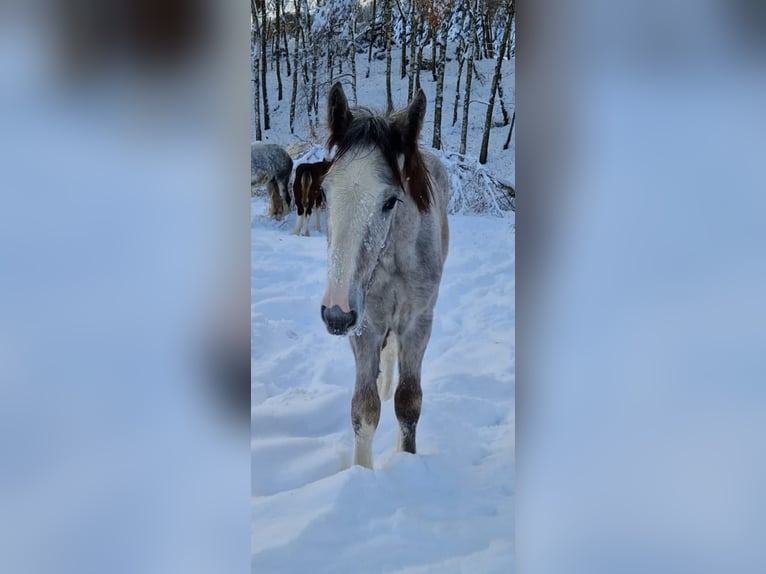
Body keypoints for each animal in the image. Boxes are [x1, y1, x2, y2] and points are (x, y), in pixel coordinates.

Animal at [319, 82, 450, 469]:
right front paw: (362, 472)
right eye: (324, 194)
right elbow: (364, 409)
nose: (336, 314)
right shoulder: (366, 325)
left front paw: (406, 460)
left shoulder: (418, 323)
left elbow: (408, 403)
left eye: (390, 201)